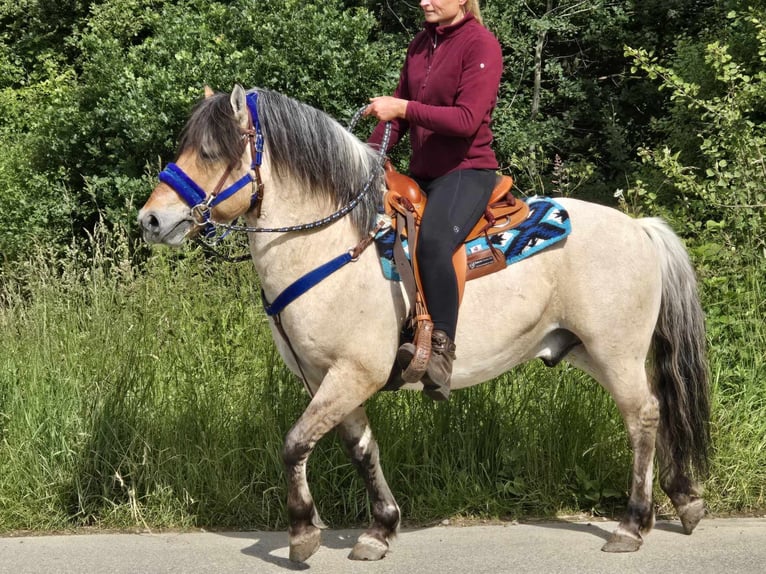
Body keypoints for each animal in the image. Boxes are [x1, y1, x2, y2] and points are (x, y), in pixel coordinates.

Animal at [138, 85, 712, 564]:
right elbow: (361, 449)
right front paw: (380, 529)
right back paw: (685, 500)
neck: (330, 244)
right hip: (585, 350)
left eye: (211, 152)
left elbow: (295, 443)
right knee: (658, 413)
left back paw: (633, 524)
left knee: (643, 417)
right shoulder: (329, 377)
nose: (151, 220)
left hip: (616, 352)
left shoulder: (354, 372)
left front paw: (302, 533)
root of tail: (640, 228)